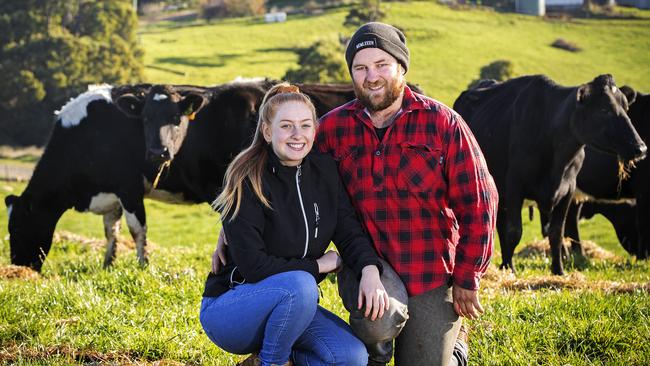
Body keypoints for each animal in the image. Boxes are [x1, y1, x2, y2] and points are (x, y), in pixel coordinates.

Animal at [454, 74, 644, 274]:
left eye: (626, 107)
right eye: (604, 109)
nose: (640, 147)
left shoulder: (568, 191)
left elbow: (556, 234)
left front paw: (558, 270)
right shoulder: (515, 186)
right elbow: (514, 231)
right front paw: (511, 269)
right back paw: (506, 264)